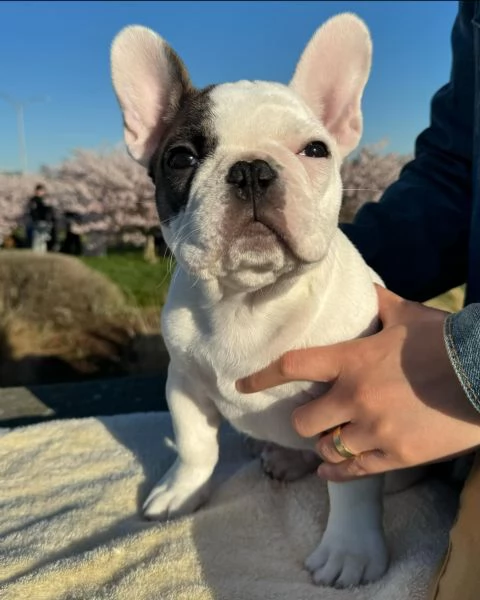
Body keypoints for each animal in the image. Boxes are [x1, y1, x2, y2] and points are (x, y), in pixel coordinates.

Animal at [111, 12, 390, 584]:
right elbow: (194, 445)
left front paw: (349, 552)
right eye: (181, 157)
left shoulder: (352, 407)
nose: (251, 169)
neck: (249, 301)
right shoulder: (184, 381)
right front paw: (182, 492)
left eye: (315, 150)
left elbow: (350, 480)